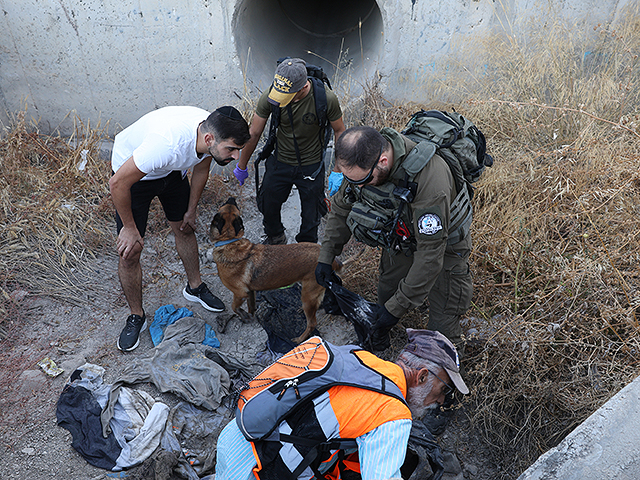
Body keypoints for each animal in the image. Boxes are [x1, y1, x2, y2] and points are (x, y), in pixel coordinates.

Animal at [209, 197, 340, 344]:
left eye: (225, 205)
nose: (232, 198)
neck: (229, 240)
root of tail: (331, 260)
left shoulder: (239, 293)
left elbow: (234, 307)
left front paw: (243, 316)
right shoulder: (250, 291)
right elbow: (251, 305)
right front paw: (249, 315)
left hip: (308, 293)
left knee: (312, 323)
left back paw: (299, 339)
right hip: (308, 292)